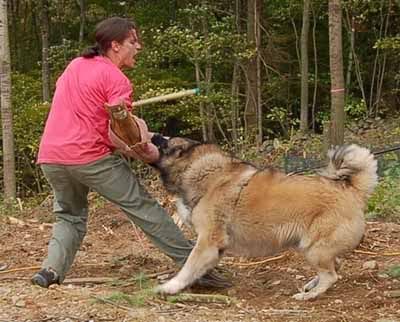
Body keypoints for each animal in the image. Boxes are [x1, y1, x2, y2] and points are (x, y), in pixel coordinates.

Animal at [152, 139, 376, 302]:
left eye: (164, 145)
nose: (153, 136)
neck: (208, 174)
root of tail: (352, 190)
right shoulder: (214, 248)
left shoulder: (208, 242)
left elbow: (188, 267)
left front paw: (170, 287)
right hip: (312, 248)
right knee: (335, 265)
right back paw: (311, 285)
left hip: (314, 249)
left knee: (331, 276)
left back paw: (309, 295)